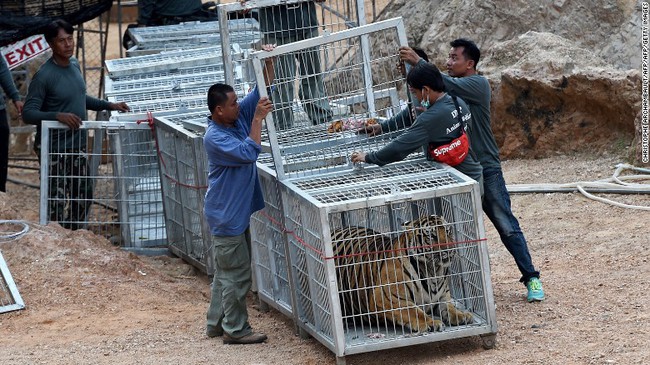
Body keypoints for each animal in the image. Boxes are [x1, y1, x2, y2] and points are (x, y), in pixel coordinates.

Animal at [330, 213, 476, 336]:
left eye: (447, 231)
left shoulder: (442, 297)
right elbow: (413, 311)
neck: (434, 271)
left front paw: (461, 315)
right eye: (431, 236)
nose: (450, 249)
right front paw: (431, 323)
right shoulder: (386, 297)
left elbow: (450, 307)